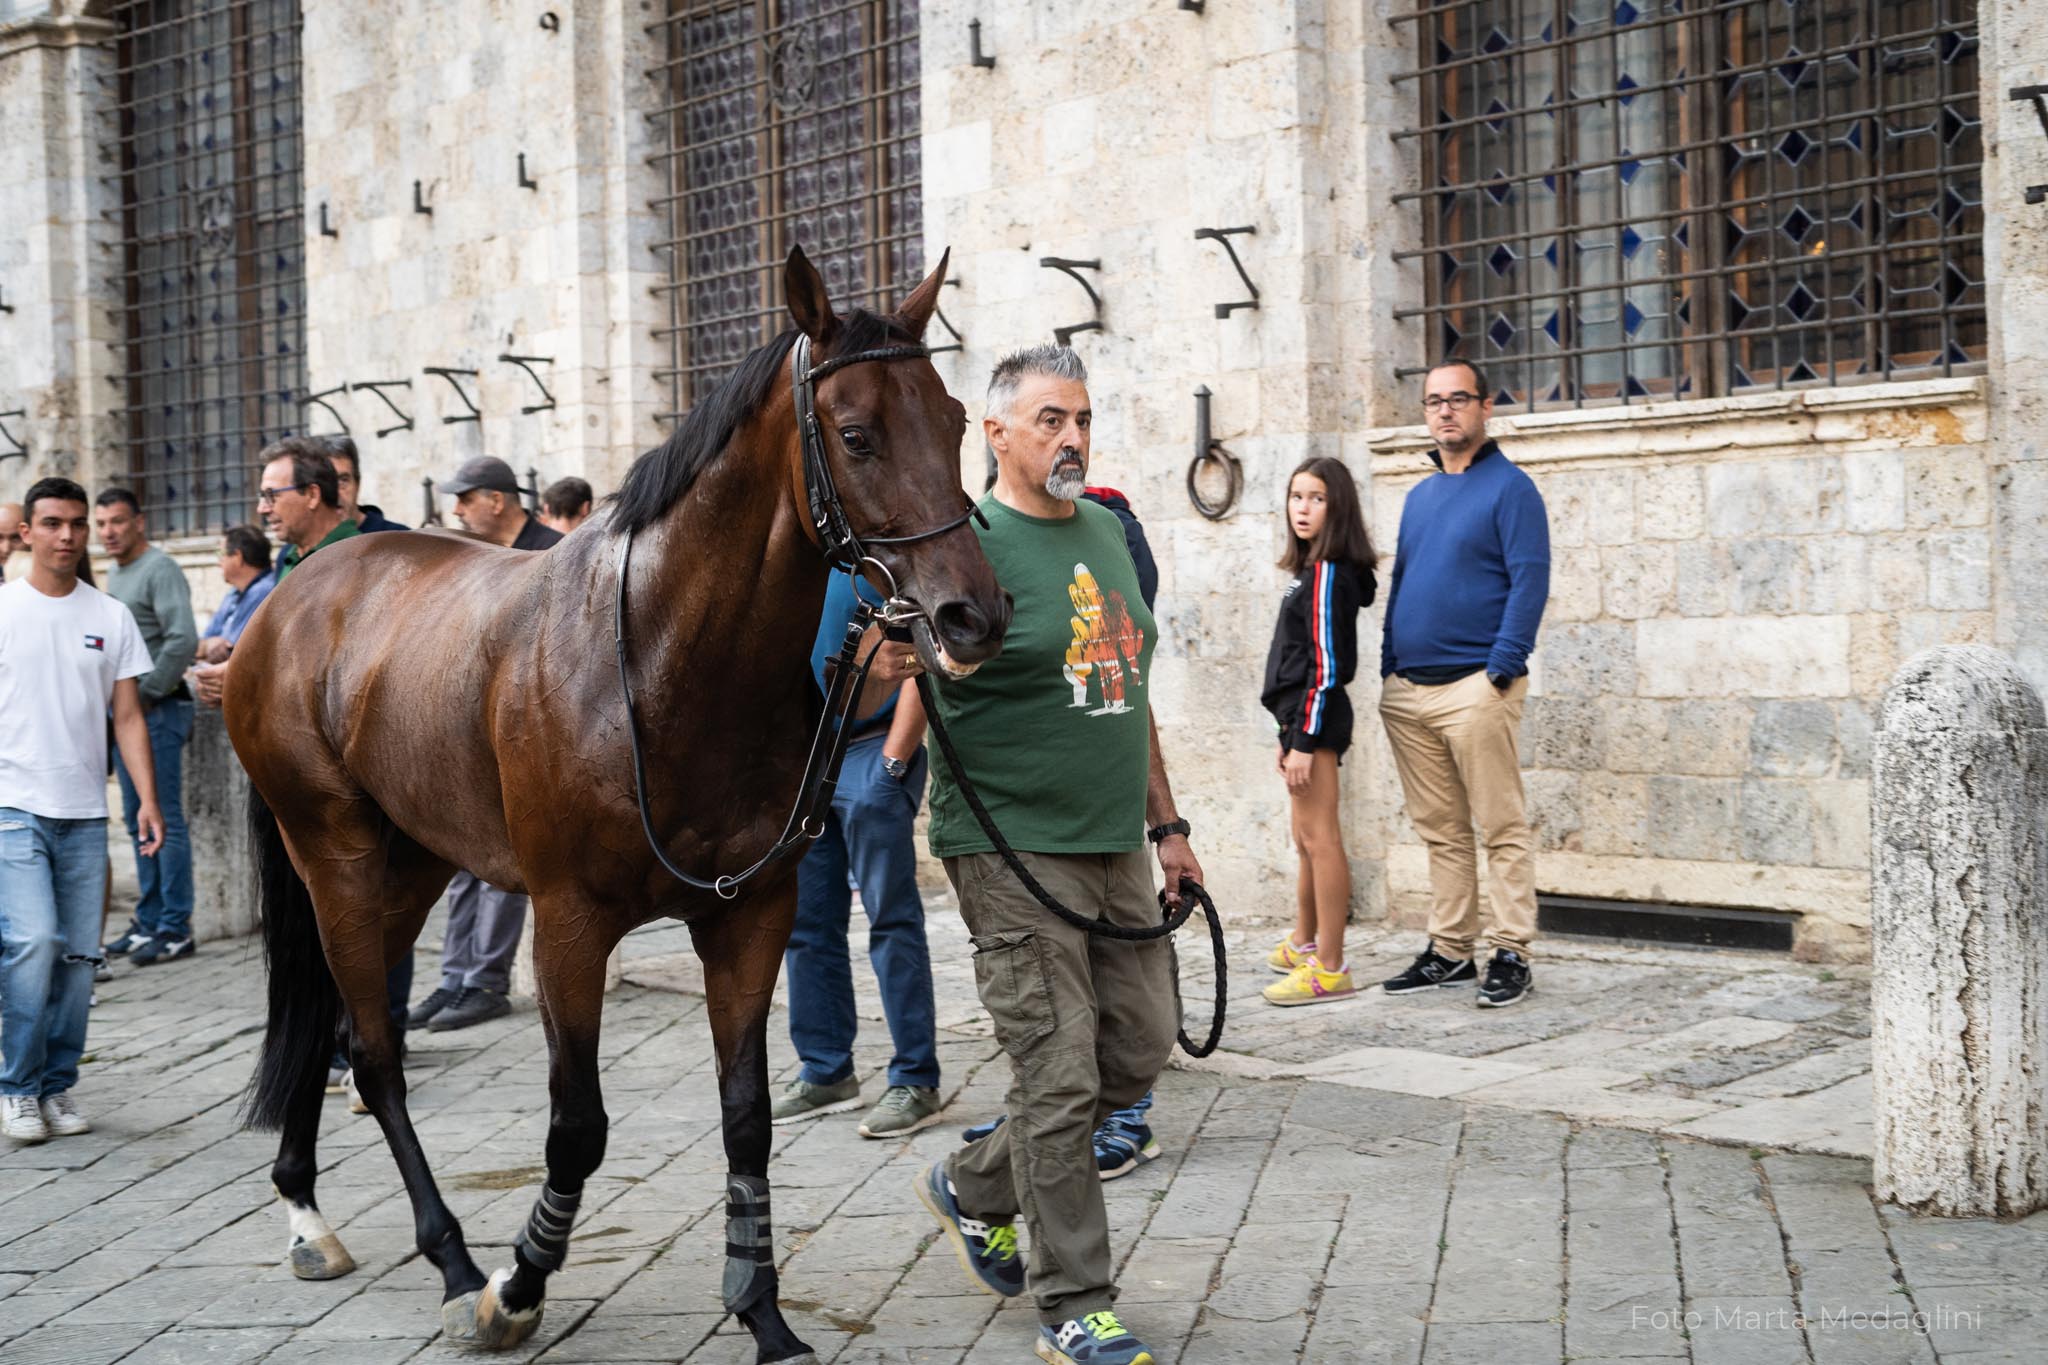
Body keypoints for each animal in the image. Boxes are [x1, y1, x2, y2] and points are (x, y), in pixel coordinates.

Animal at [222, 246, 1009, 1363]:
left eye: (952, 420)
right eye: (856, 434)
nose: (971, 614)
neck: (666, 663)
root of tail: (289, 597)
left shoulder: (750, 914)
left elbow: (745, 1113)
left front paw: (762, 1312)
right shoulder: (568, 923)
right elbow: (576, 1127)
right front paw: (515, 1283)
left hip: (409, 862)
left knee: (334, 1015)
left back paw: (305, 1207)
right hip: (332, 852)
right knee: (373, 1053)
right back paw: (449, 1259)